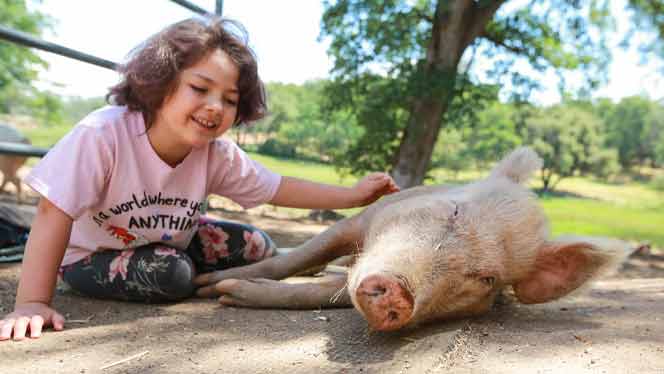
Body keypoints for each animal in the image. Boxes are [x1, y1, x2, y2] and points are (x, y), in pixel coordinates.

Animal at [195, 148, 632, 332]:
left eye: (487, 279)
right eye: (454, 211)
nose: (399, 291)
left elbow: (320, 292)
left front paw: (228, 293)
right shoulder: (361, 221)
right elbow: (294, 258)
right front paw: (207, 288)